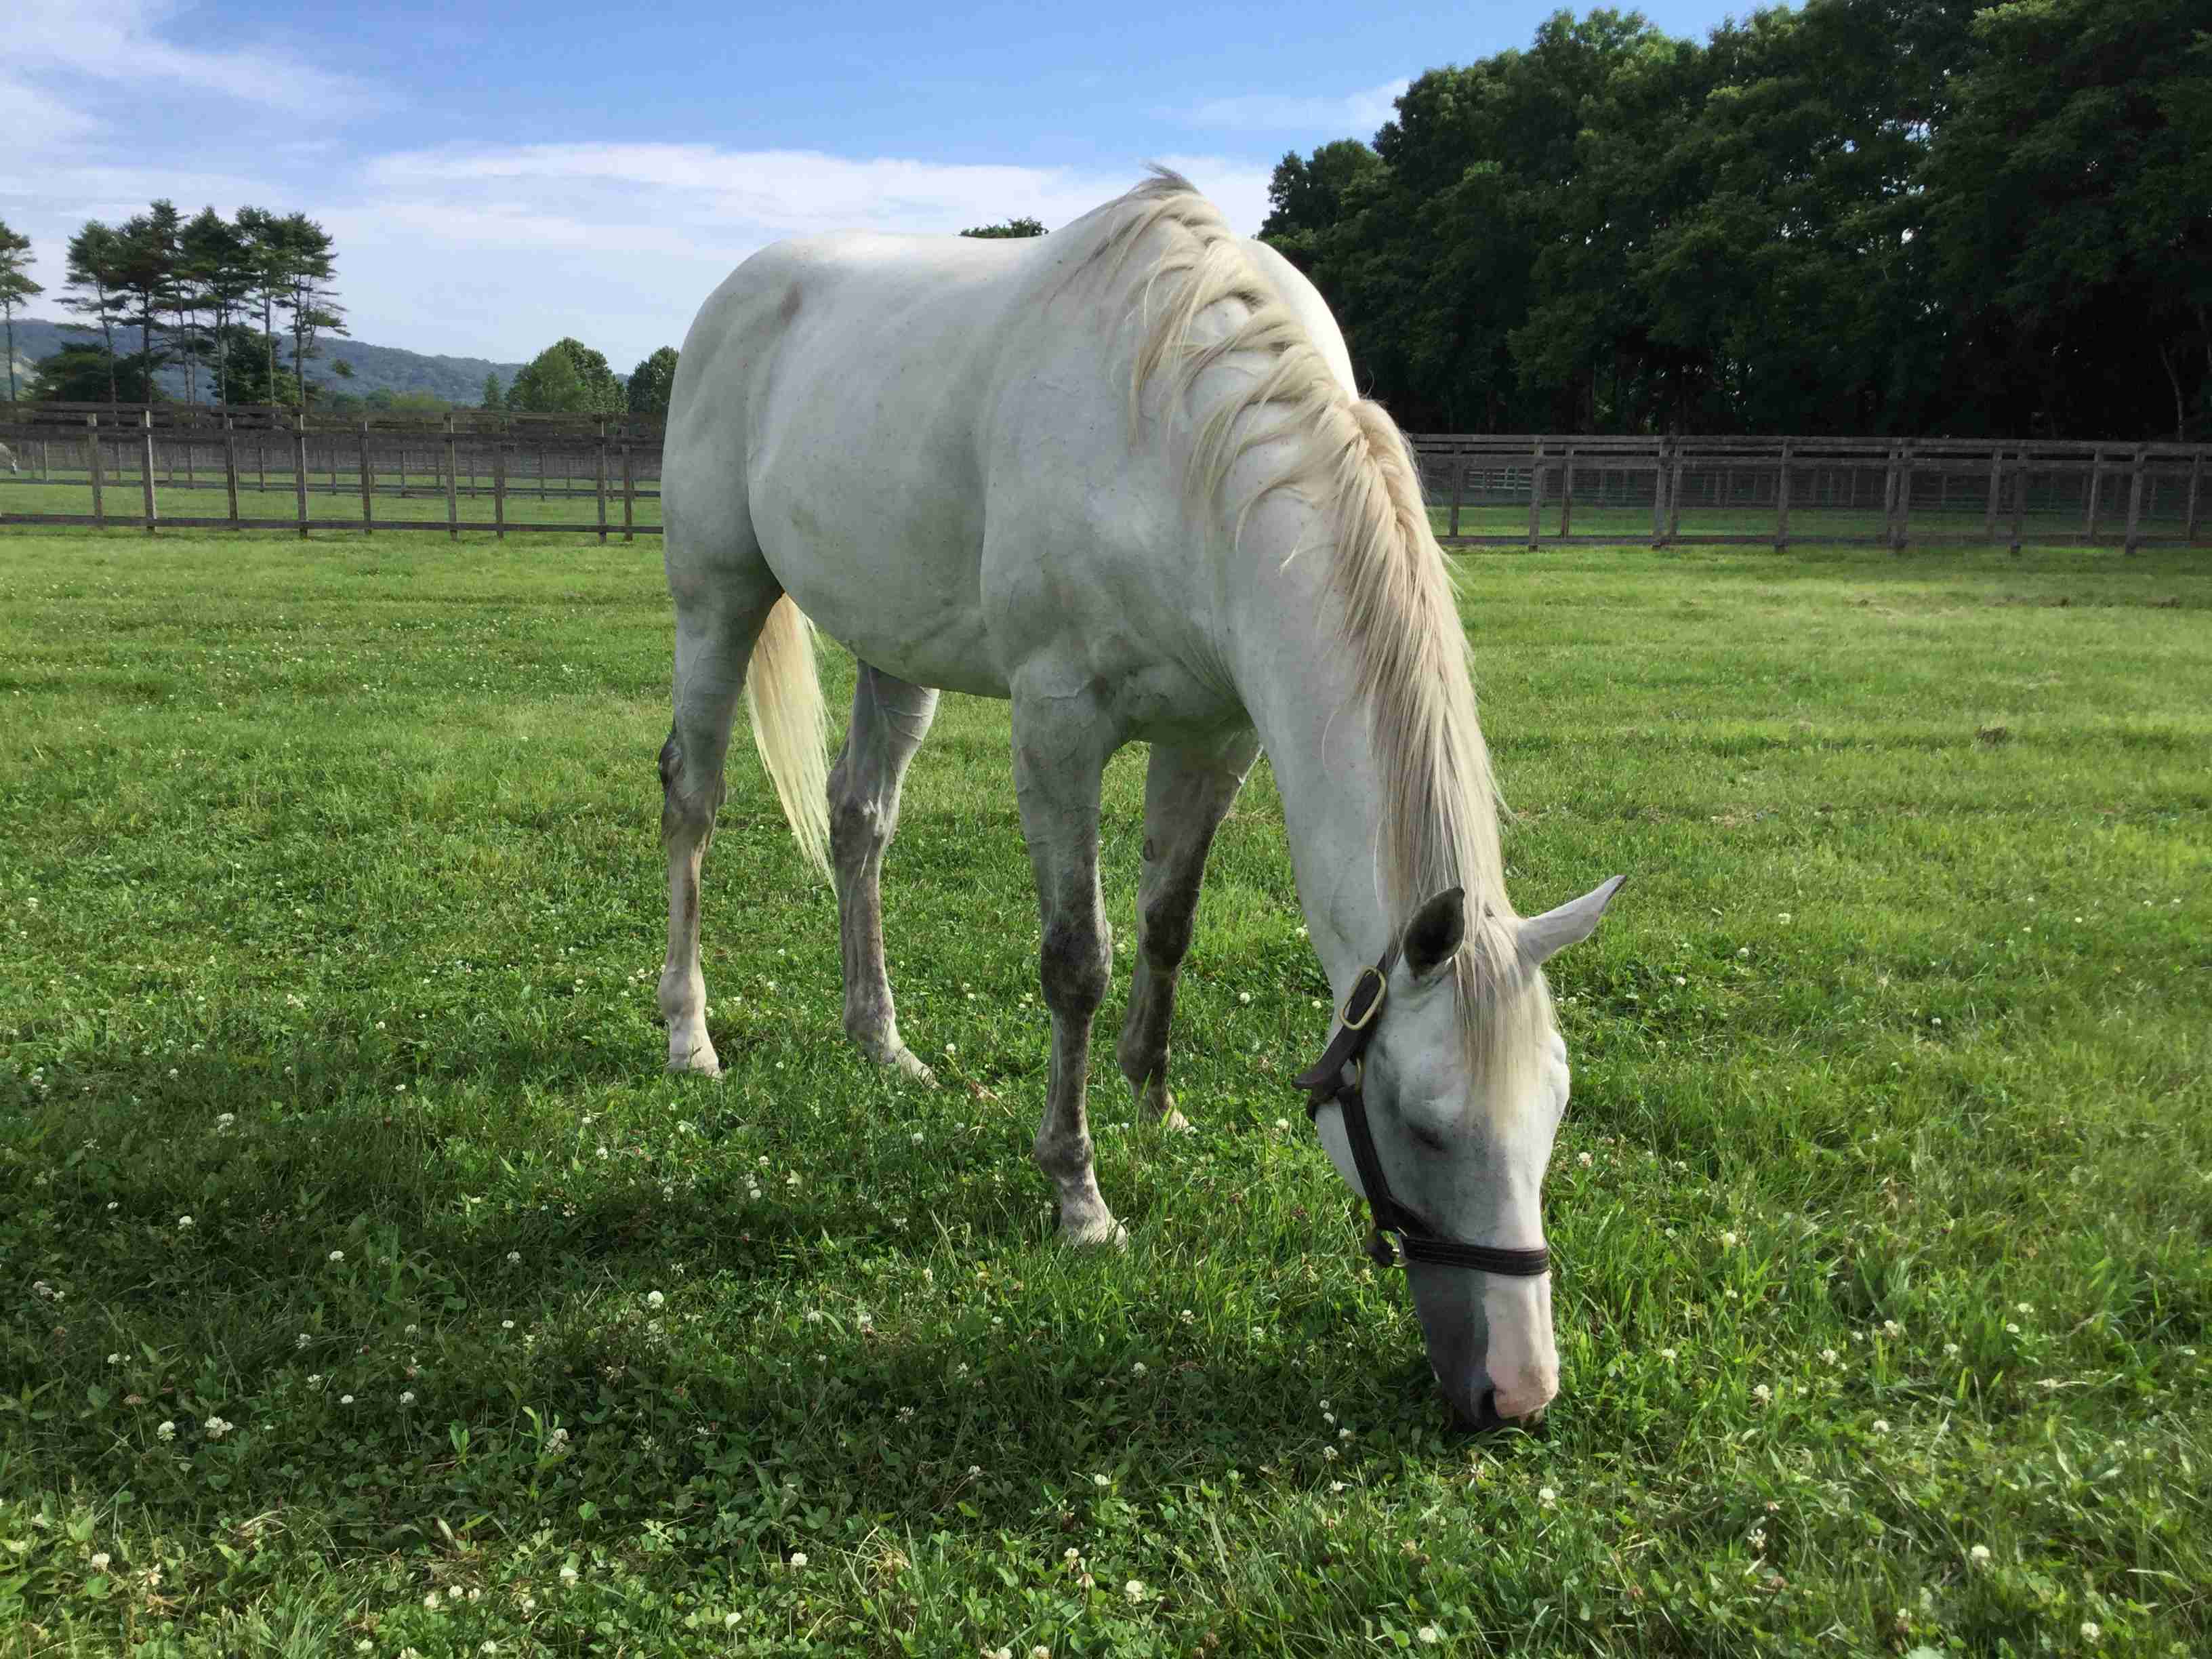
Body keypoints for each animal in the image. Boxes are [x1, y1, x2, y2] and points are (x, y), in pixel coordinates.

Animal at [655, 169, 1623, 1428]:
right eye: (1421, 1122)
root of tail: (738, 289)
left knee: (859, 822)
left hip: (892, 650)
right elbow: (1078, 959)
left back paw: (882, 1044)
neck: (1180, 446)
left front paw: (1155, 1104)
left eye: (1554, 1110)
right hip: (716, 599)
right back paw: (688, 1033)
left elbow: (1169, 924)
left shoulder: (1215, 737)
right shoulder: (1059, 727)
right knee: (694, 799)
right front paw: (1079, 1196)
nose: (1516, 1391)